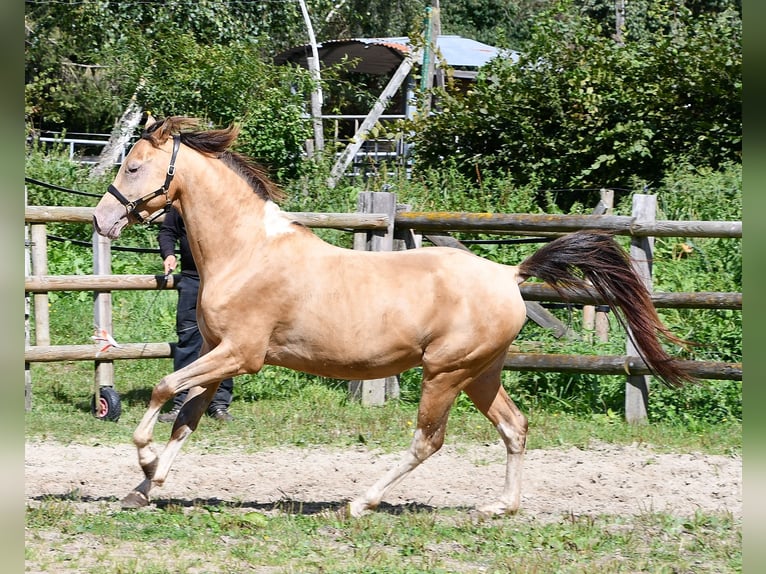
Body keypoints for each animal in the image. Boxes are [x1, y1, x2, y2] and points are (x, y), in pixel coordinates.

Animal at [93, 116, 693, 516]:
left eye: (134, 164)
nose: (101, 220)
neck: (248, 252)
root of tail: (509, 274)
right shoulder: (220, 356)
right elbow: (187, 417)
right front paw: (146, 487)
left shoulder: (241, 355)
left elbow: (163, 389)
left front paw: (145, 463)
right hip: (481, 374)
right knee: (515, 427)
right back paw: (499, 507)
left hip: (445, 373)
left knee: (428, 441)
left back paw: (360, 503)